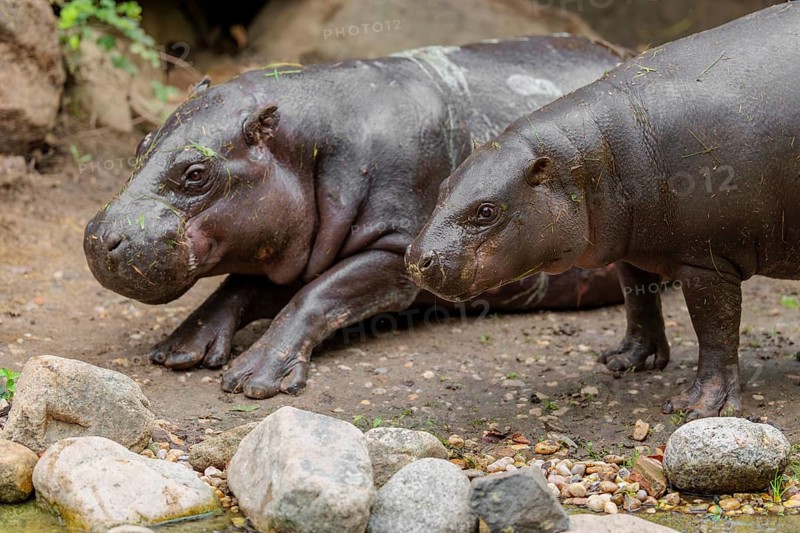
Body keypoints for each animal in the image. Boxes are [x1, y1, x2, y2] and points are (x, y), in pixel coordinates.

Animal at [84, 35, 628, 399]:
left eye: (196, 173)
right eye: (141, 142)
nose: (98, 237)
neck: (309, 142)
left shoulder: (400, 250)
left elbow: (320, 295)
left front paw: (253, 378)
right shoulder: (297, 246)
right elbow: (242, 287)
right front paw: (179, 350)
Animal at [407, 3, 800, 419]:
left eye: (486, 211)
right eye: (443, 186)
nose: (415, 259)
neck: (590, 157)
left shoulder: (708, 262)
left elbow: (716, 333)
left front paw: (698, 407)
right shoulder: (635, 250)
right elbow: (639, 302)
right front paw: (624, 361)